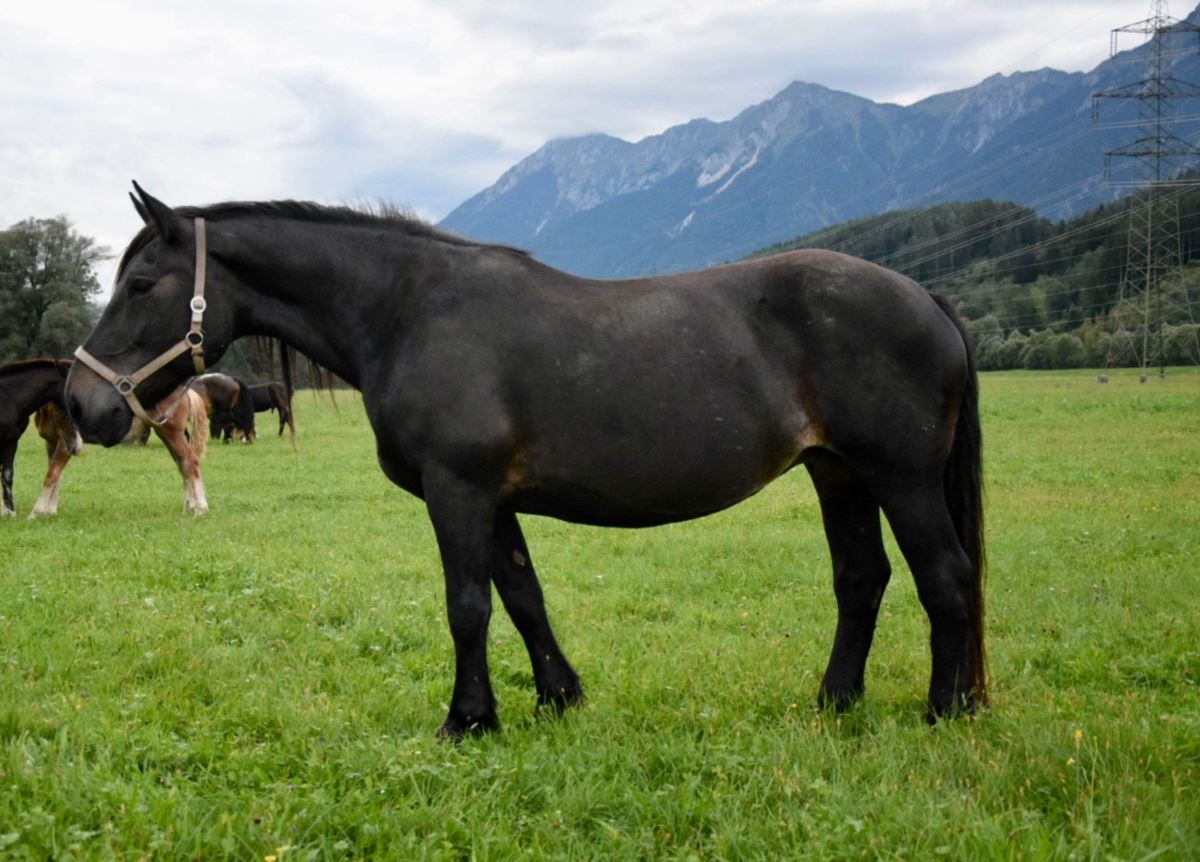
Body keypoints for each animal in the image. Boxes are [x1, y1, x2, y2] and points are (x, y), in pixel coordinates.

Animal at [63, 186, 984, 739]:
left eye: (141, 283)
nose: (80, 402)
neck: (411, 312)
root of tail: (925, 296)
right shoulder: (492, 501)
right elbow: (523, 598)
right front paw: (557, 699)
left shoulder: (457, 492)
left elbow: (468, 607)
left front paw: (467, 720)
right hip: (839, 474)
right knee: (862, 579)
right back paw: (835, 701)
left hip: (899, 478)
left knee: (944, 576)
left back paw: (947, 710)